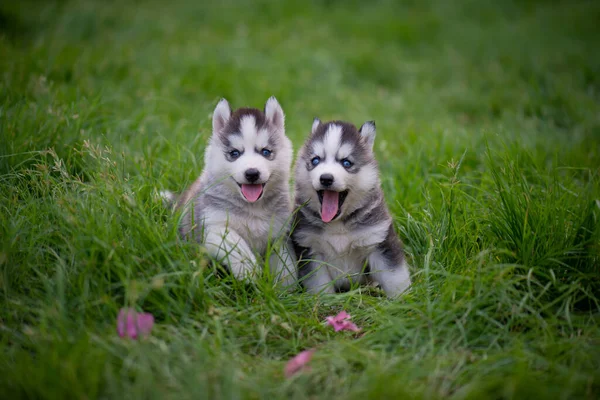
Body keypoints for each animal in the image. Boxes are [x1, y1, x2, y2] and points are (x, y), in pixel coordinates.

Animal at [163, 97, 296, 284]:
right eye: (234, 153)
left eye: (265, 152)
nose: (252, 173)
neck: (252, 208)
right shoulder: (213, 227)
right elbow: (237, 246)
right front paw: (250, 272)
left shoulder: (280, 233)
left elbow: (285, 262)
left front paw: (284, 284)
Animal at [292, 117, 412, 296]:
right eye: (315, 160)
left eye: (346, 162)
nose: (326, 178)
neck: (337, 225)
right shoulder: (310, 248)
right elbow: (319, 284)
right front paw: (324, 300)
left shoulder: (378, 241)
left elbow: (394, 277)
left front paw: (403, 299)